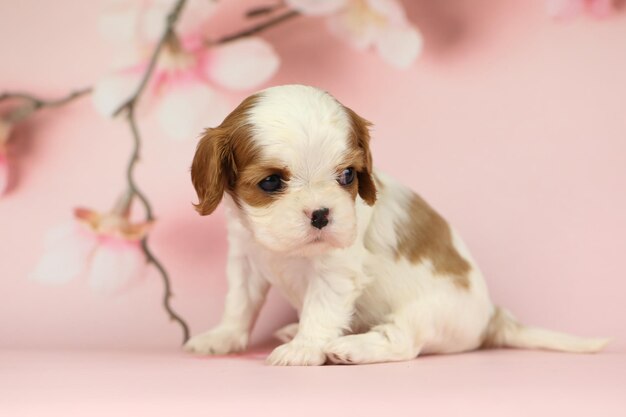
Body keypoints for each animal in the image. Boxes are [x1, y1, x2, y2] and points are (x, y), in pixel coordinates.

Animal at [184, 84, 604, 364]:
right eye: (271, 182)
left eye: (347, 176)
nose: (322, 214)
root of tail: (491, 318)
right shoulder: (245, 259)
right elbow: (240, 304)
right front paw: (222, 337)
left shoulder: (336, 272)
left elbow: (322, 310)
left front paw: (304, 347)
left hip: (427, 312)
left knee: (403, 343)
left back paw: (351, 347)